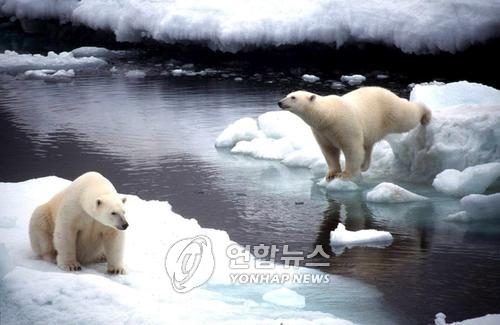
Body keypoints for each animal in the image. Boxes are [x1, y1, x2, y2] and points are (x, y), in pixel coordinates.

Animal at [278, 86, 430, 180]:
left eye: (293, 97)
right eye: (287, 95)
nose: (280, 102)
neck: (328, 115)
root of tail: (388, 91)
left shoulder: (345, 125)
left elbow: (352, 149)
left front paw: (345, 174)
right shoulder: (321, 131)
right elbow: (329, 150)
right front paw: (331, 174)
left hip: (389, 111)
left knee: (406, 116)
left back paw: (426, 115)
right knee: (368, 145)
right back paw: (364, 166)